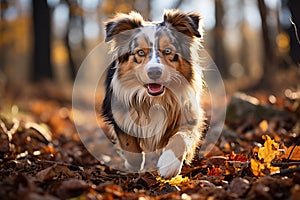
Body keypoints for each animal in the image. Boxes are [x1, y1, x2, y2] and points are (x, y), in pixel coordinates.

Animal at [102, 9, 205, 178]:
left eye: (168, 51)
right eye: (140, 52)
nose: (154, 72)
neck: (154, 100)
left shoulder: (189, 115)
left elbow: (181, 138)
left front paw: (169, 163)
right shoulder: (115, 111)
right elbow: (129, 143)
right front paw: (133, 164)